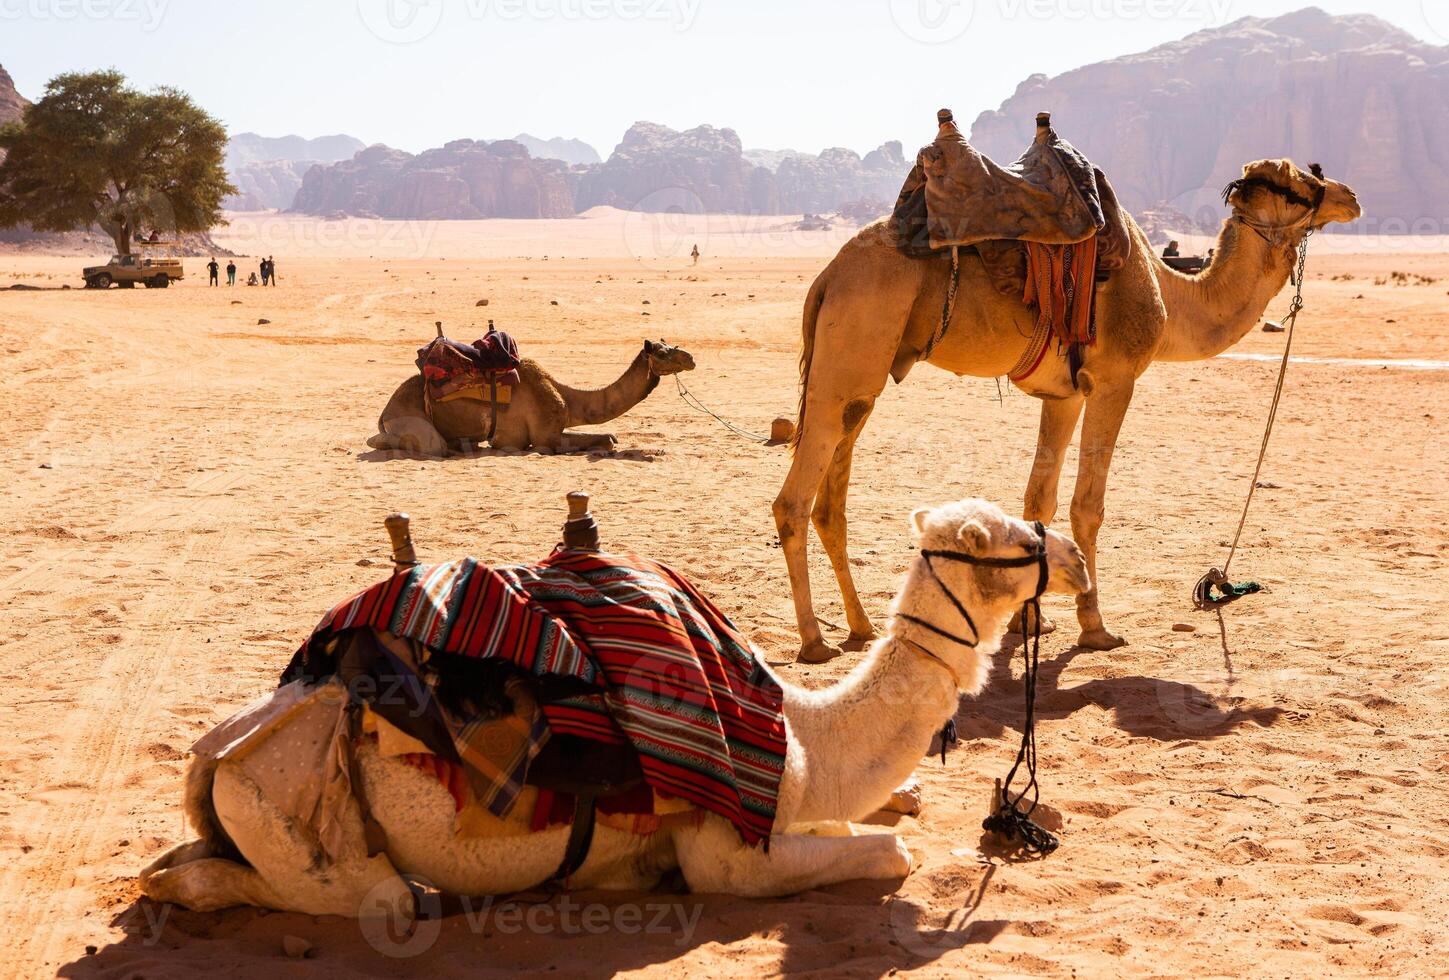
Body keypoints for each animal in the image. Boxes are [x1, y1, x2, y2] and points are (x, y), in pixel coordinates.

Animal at [141, 501, 1089, 916]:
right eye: (1016, 540)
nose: (1077, 555)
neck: (804, 736)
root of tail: (214, 759)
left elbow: (890, 814)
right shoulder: (726, 850)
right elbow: (890, 851)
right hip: (309, 831)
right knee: (354, 895)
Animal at [368, 340, 695, 455]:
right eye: (663, 352)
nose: (690, 358)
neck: (566, 396)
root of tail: (384, 413)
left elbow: (609, 436)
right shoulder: (544, 437)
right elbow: (603, 440)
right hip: (414, 424)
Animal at [776, 160, 1362, 661]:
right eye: (1300, 184)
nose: (1350, 196)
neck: (1170, 295)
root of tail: (826, 279)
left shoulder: (1065, 396)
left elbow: (1040, 501)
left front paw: (1030, 620)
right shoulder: (1113, 380)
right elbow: (1087, 507)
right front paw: (1095, 626)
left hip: (858, 386)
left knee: (830, 502)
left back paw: (860, 627)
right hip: (848, 356)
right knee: (792, 503)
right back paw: (813, 641)